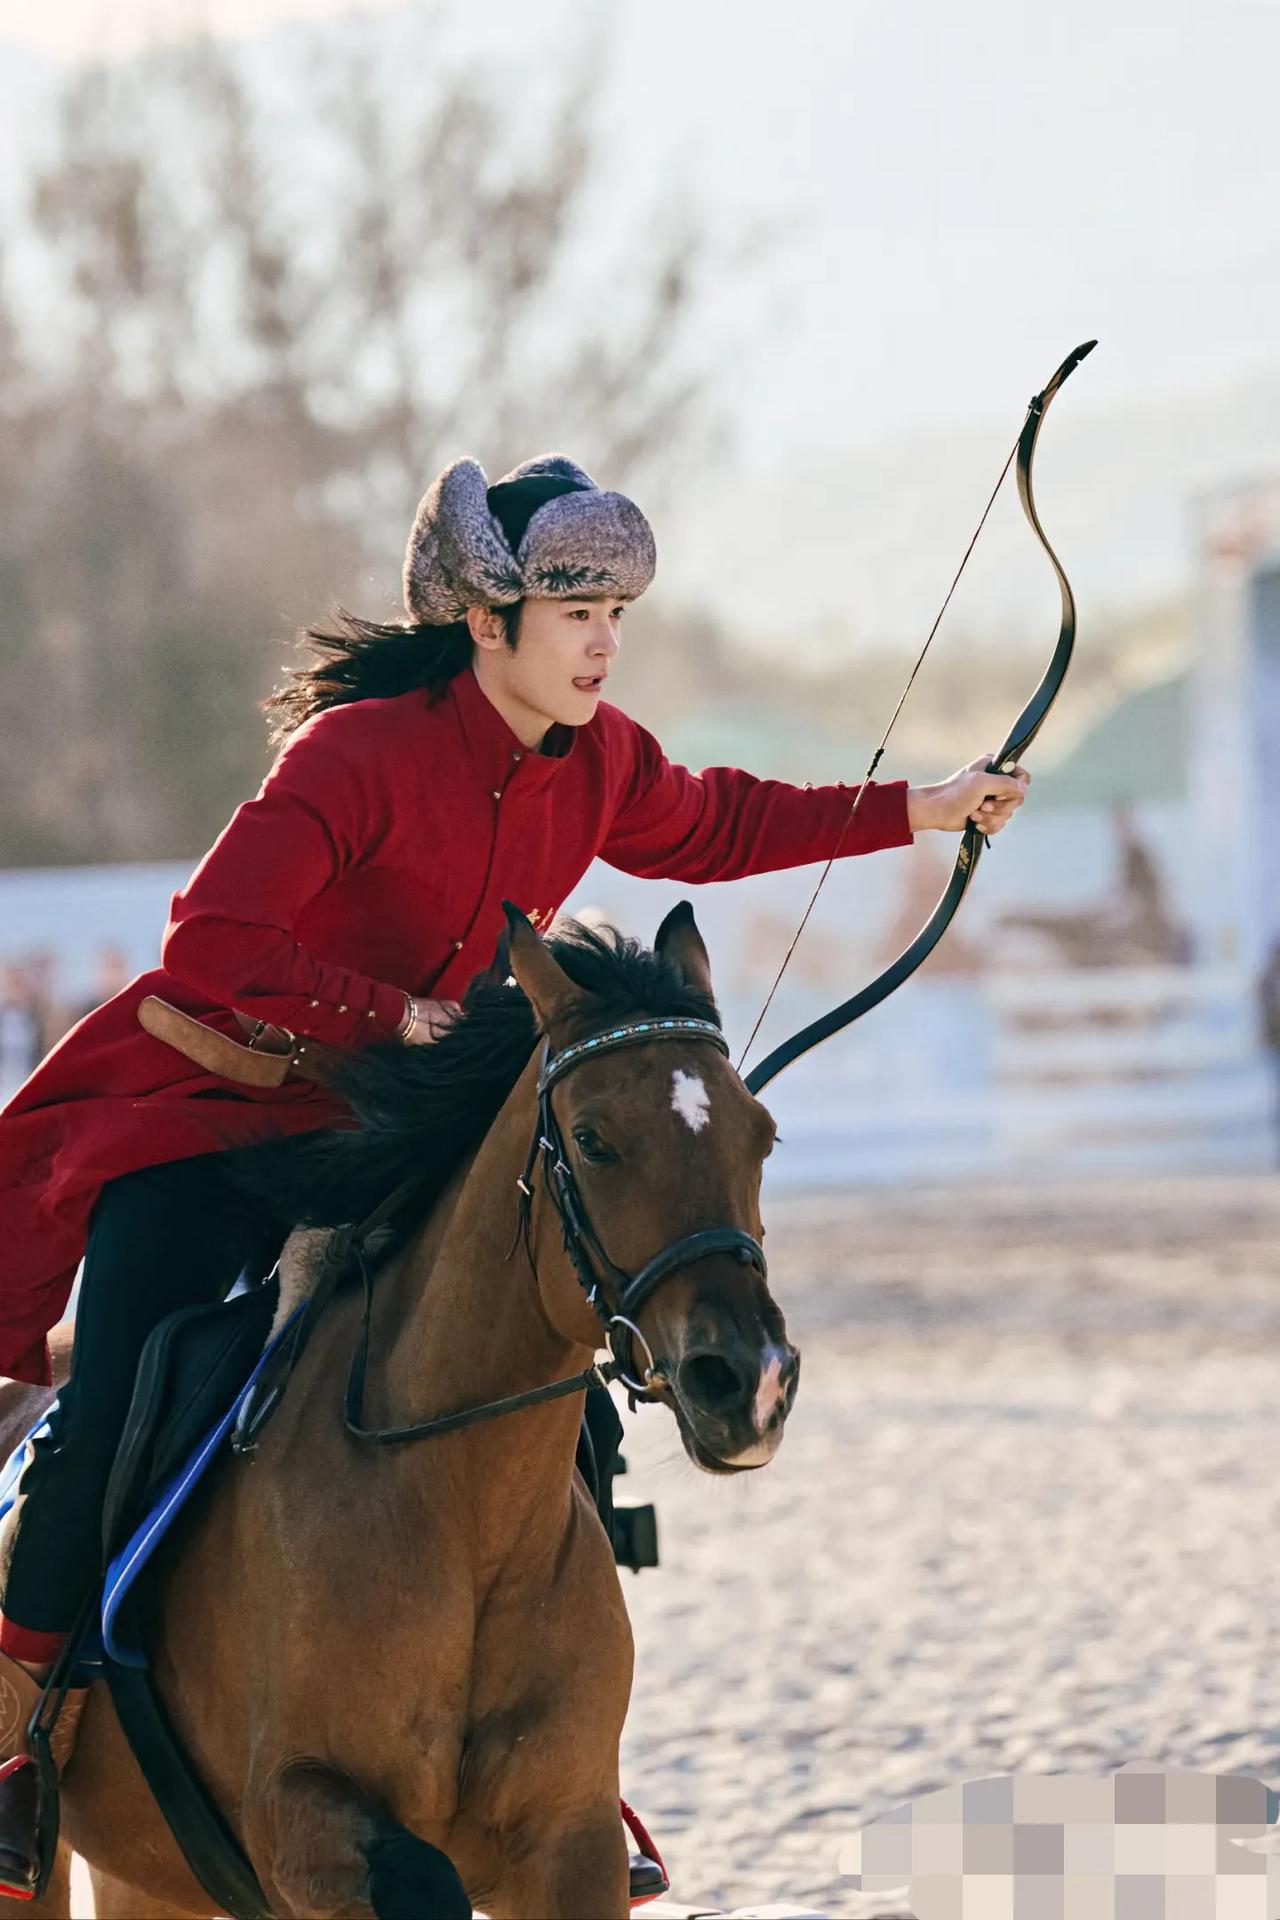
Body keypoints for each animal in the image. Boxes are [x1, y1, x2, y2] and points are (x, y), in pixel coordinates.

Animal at [0, 910, 802, 1920]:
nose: (749, 1380)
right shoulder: (298, 1826)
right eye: (592, 1139)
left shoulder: (574, 1838)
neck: (462, 1520)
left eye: (761, 1136)